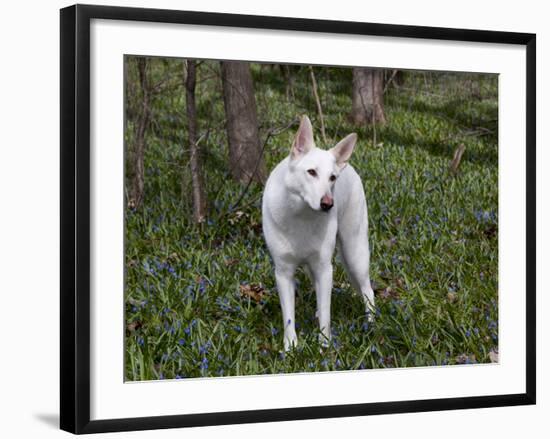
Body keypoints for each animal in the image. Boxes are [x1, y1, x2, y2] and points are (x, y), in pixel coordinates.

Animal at [262, 116, 376, 350]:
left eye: (332, 178)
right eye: (311, 172)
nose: (328, 204)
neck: (301, 215)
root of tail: (349, 167)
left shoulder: (325, 268)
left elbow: (326, 311)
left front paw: (324, 344)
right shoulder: (283, 272)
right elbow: (289, 316)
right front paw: (290, 347)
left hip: (354, 252)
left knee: (368, 291)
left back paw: (371, 325)